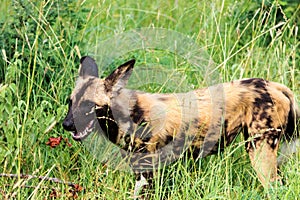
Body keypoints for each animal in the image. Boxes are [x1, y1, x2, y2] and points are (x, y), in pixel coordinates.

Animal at [62, 55, 298, 194]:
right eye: (70, 103)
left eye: (89, 106)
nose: (66, 124)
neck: (129, 114)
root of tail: (274, 85)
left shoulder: (147, 172)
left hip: (259, 152)